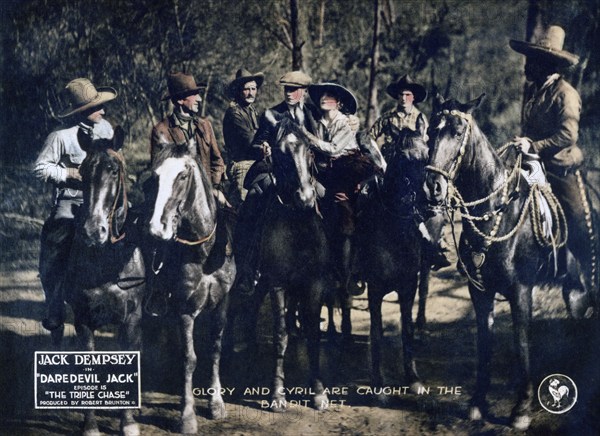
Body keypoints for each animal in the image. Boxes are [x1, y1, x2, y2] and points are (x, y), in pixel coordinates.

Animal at [60, 127, 146, 436]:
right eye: (84, 172)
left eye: (113, 170)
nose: (92, 231)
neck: (107, 262)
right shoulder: (83, 318)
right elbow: (89, 365)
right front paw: (90, 425)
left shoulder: (131, 319)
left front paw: (129, 423)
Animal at [144, 137, 236, 432]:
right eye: (155, 176)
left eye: (183, 176)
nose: (157, 229)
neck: (204, 252)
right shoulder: (184, 309)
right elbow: (189, 358)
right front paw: (187, 416)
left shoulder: (222, 304)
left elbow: (215, 349)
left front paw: (216, 403)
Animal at [354, 127, 434, 398]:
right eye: (402, 156)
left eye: (427, 154)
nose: (428, 198)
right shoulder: (375, 289)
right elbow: (376, 331)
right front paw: (378, 384)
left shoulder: (408, 286)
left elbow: (407, 330)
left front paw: (414, 378)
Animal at [424, 93, 596, 430]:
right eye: (429, 133)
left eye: (457, 132)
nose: (433, 187)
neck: (497, 211)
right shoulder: (479, 291)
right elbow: (484, 342)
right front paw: (478, 403)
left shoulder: (520, 290)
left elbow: (521, 341)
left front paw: (521, 408)